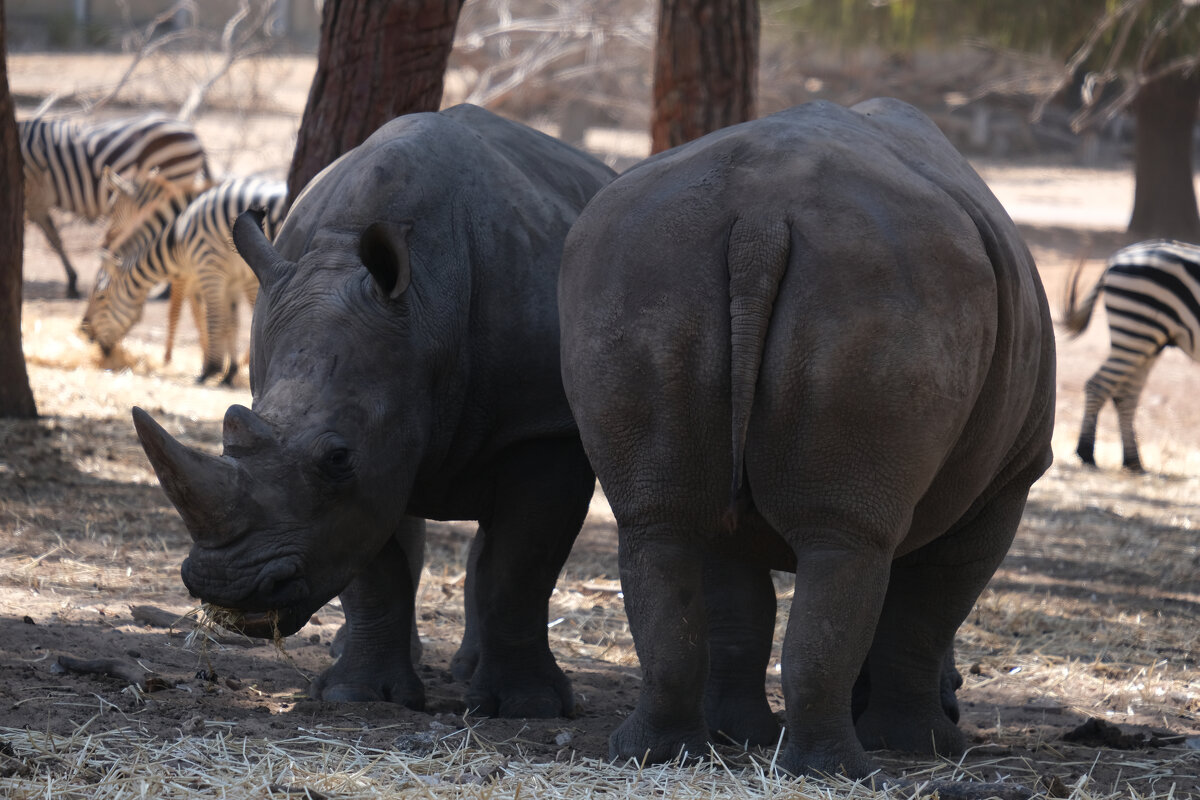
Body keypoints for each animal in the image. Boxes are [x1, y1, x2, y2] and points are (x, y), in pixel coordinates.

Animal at [19, 112, 208, 297]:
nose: (105, 241)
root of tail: (191, 131)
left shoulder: (33, 199)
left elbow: (52, 239)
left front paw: (72, 282)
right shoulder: (36, 203)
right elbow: (54, 239)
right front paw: (72, 280)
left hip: (176, 175)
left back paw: (165, 290)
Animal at [81, 178, 286, 383]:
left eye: (100, 297)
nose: (85, 332)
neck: (178, 237)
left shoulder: (210, 270)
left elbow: (214, 319)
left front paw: (210, 370)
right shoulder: (230, 278)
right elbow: (230, 323)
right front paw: (229, 373)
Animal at [1060, 241, 1200, 472]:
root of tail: (1117, 257)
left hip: (1148, 341)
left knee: (1126, 396)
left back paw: (1133, 461)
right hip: (1136, 330)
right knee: (1098, 384)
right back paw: (1087, 453)